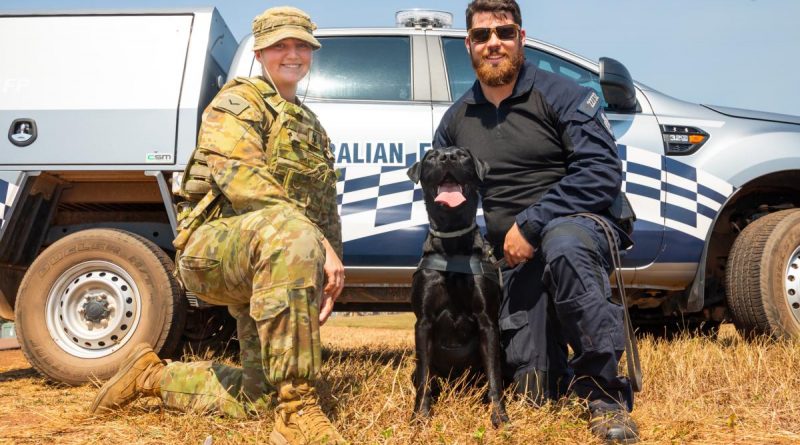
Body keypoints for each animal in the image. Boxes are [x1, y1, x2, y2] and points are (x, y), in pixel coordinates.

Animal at [404, 146, 510, 426]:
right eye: (431, 156)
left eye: (462, 155)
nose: (447, 157)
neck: (452, 246)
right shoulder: (423, 321)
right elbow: (424, 376)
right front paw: (420, 415)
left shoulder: (487, 320)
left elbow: (494, 376)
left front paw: (499, 415)